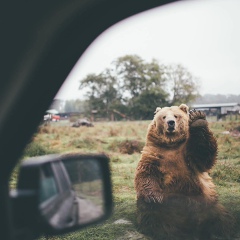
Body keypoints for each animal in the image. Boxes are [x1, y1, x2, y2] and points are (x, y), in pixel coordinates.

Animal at [135, 104, 234, 240]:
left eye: (176, 115)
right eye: (164, 116)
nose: (171, 123)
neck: (171, 144)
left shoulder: (188, 154)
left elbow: (203, 154)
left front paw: (198, 118)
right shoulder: (154, 154)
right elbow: (147, 174)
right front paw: (154, 197)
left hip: (209, 205)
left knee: (221, 220)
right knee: (154, 217)